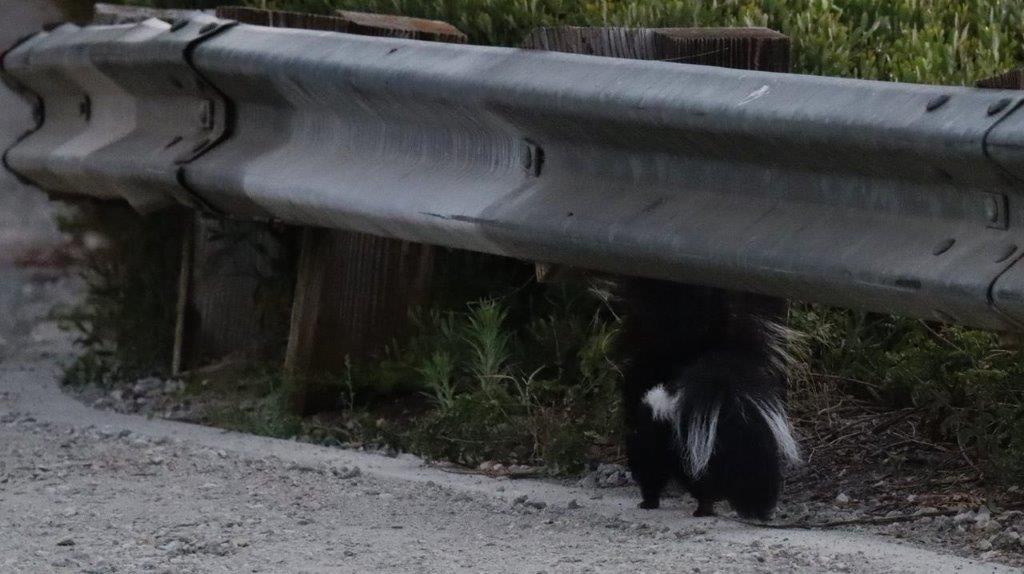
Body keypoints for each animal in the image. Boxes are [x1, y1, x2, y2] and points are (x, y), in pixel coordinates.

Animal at [610, 276, 802, 519]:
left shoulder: (654, 440)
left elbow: (651, 471)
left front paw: (648, 501)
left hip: (692, 442)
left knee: (701, 481)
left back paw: (706, 509)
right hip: (750, 434)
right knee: (756, 467)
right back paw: (758, 506)